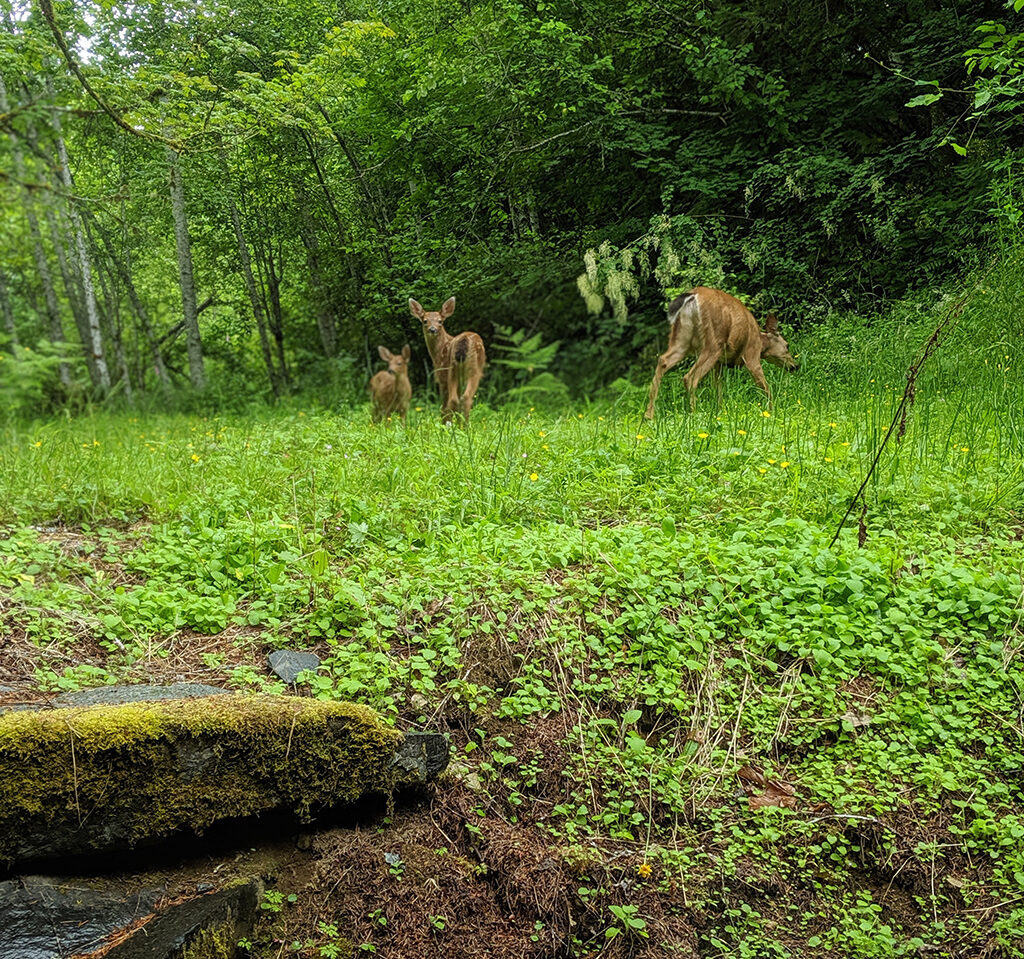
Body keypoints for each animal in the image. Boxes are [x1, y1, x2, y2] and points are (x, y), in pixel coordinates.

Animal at [407, 294, 487, 423]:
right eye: (425, 321)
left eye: (440, 321)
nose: (432, 329)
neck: (438, 352)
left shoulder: (443, 375)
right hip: (462, 369)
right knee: (460, 398)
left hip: (460, 369)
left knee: (457, 399)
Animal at [638, 286, 798, 417]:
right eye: (787, 345)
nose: (795, 366)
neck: (760, 340)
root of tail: (692, 296)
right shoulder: (751, 355)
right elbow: (765, 387)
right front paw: (772, 411)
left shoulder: (719, 362)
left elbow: (718, 388)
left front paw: (719, 412)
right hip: (713, 341)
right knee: (690, 377)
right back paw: (693, 414)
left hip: (682, 339)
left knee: (663, 360)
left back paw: (648, 416)